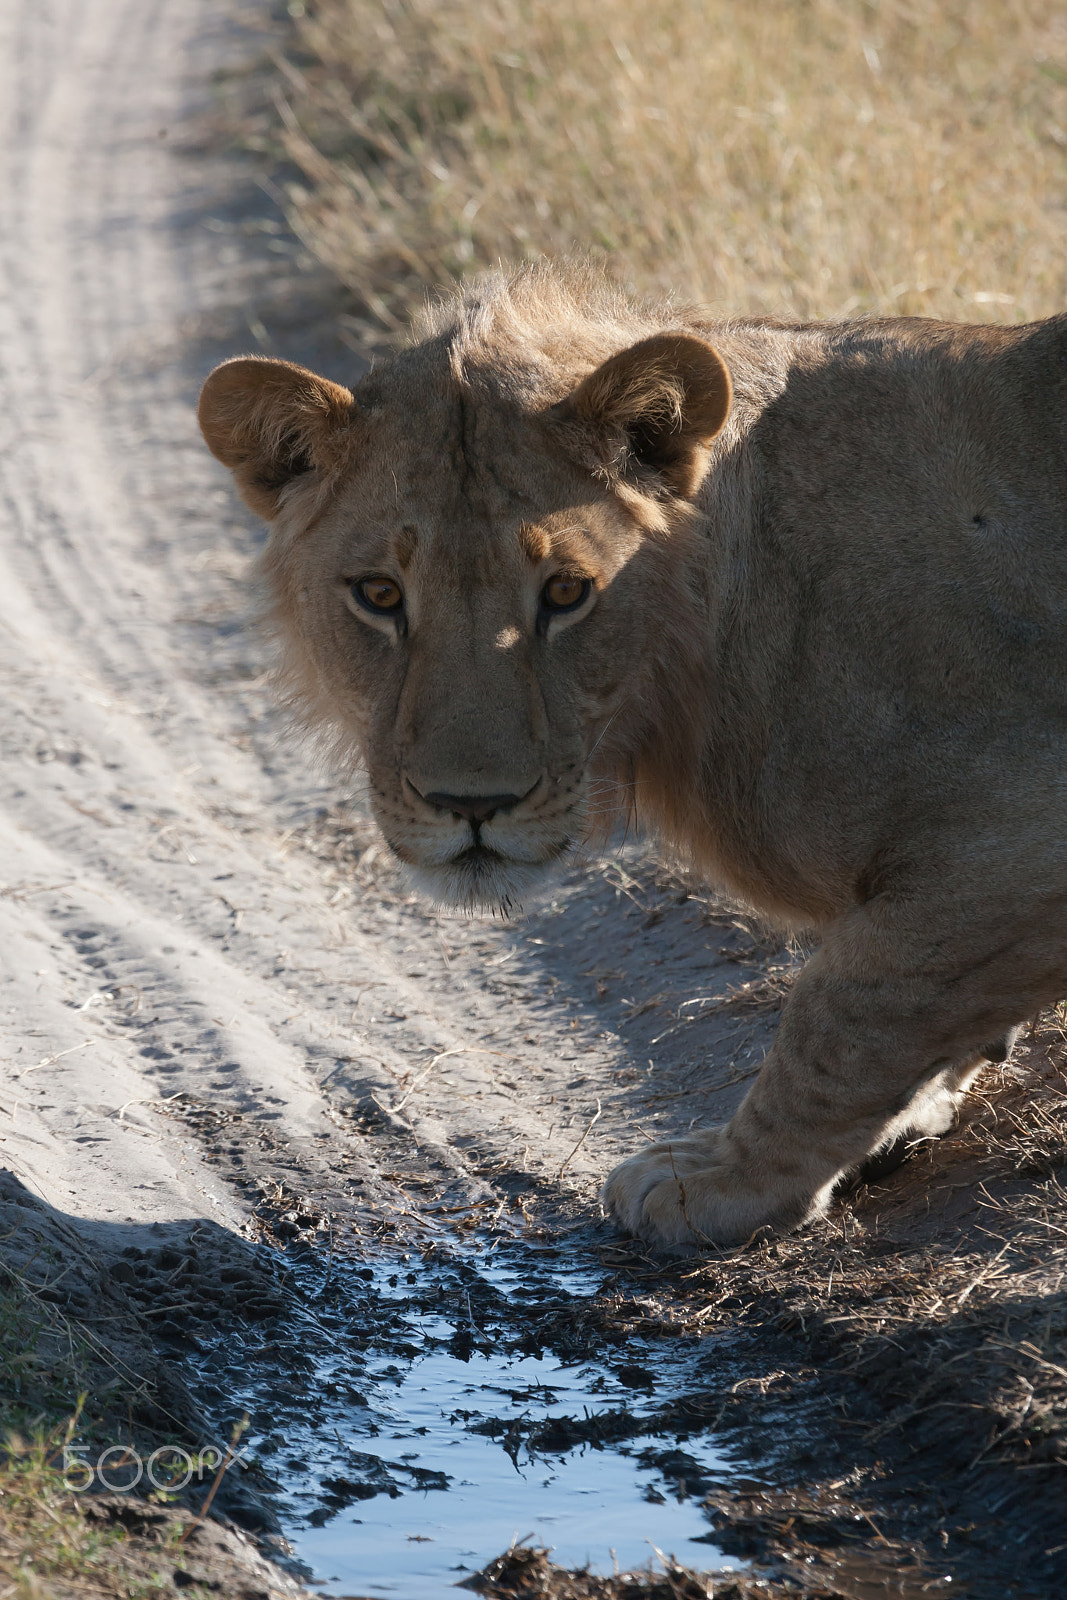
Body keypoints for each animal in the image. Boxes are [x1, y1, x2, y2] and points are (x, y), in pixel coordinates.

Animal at [198, 262, 1067, 1248]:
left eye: (568, 592)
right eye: (378, 594)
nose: (471, 806)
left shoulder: (1016, 836)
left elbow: (843, 1008)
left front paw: (726, 1180)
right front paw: (907, 1116)